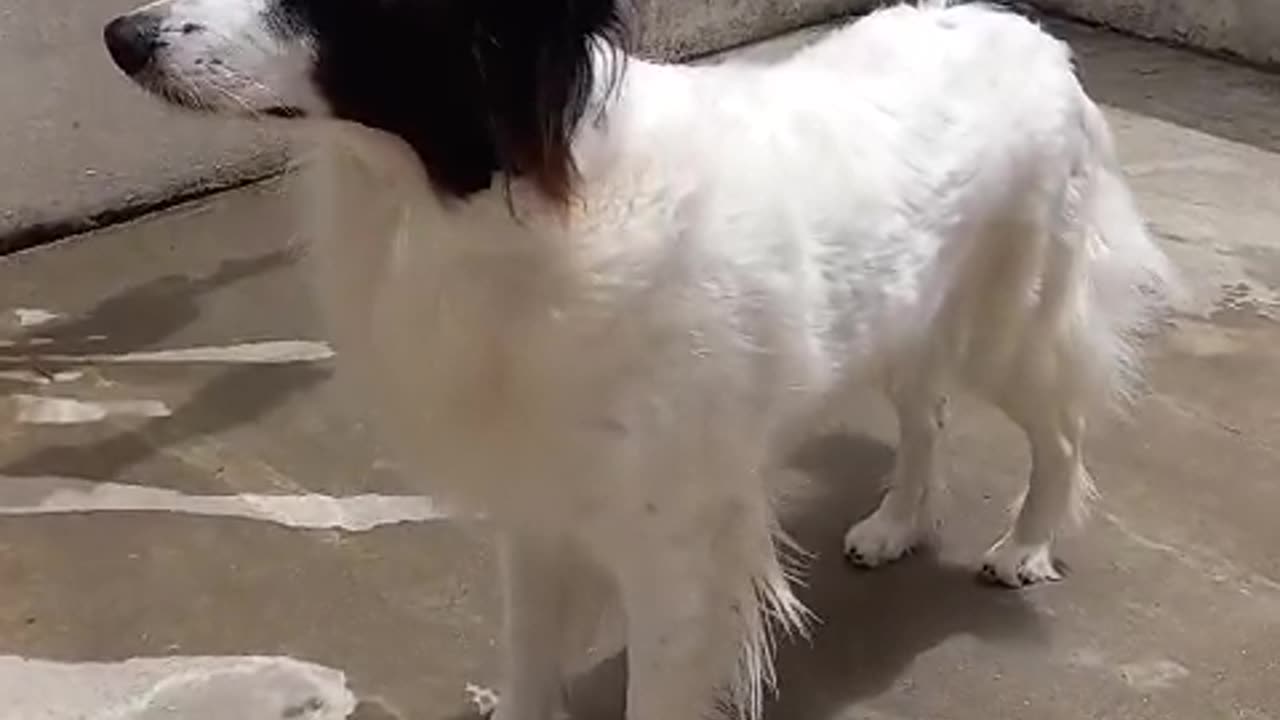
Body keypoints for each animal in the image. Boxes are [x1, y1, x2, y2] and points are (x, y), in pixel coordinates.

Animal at [104, 1, 1172, 712]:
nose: (120, 36)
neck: (502, 201)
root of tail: (1031, 34)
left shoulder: (674, 551)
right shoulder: (536, 508)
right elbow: (527, 667)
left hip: (1012, 322)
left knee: (1061, 431)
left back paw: (1025, 546)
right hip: (907, 317)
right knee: (929, 413)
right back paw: (897, 523)